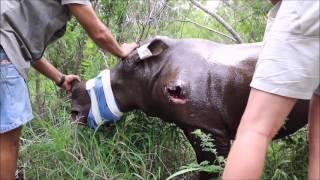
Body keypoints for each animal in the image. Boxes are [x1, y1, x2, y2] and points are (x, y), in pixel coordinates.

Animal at [69, 35, 308, 179]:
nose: (74, 113)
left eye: (116, 86)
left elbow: (210, 164)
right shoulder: (194, 124)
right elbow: (205, 162)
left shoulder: (209, 127)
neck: (149, 71)